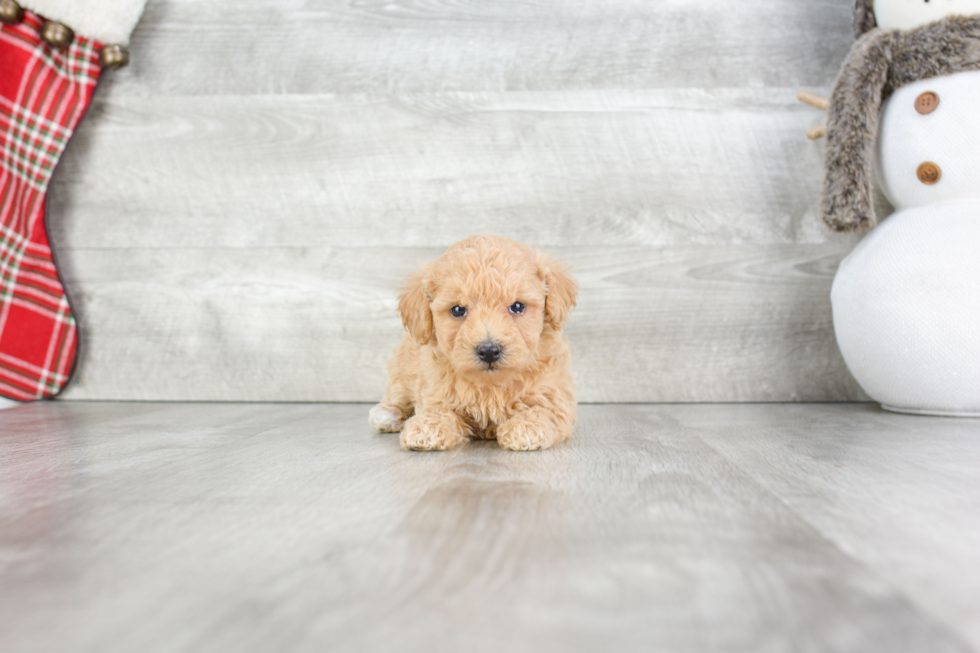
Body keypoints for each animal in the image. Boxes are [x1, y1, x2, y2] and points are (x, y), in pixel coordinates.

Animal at [372, 232, 580, 450]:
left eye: (517, 306)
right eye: (457, 310)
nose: (489, 350)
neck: (490, 384)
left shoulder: (556, 398)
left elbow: (544, 411)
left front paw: (525, 428)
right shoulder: (436, 393)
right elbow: (439, 411)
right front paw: (426, 428)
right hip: (401, 369)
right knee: (397, 395)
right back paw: (386, 415)